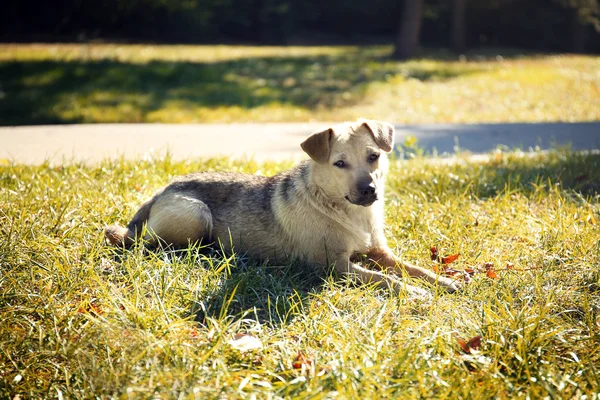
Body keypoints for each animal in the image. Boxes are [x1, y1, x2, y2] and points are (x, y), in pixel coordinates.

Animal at [105, 119, 462, 296]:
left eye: (374, 156)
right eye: (339, 163)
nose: (369, 190)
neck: (345, 210)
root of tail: (159, 191)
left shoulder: (380, 253)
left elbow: (415, 269)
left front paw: (444, 281)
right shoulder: (334, 266)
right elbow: (386, 280)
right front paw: (415, 293)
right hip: (196, 215)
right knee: (152, 245)